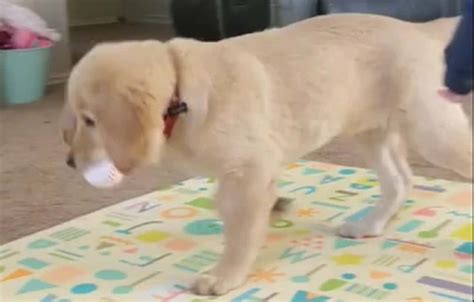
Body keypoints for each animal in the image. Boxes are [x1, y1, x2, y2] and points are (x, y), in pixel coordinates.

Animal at [61, 14, 472, 294]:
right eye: (78, 118)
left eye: (91, 120)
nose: (69, 163)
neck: (180, 92)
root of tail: (420, 29)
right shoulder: (233, 177)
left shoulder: (249, 174)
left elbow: (241, 233)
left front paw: (223, 276)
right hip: (371, 131)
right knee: (400, 180)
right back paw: (368, 226)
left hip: (433, 130)